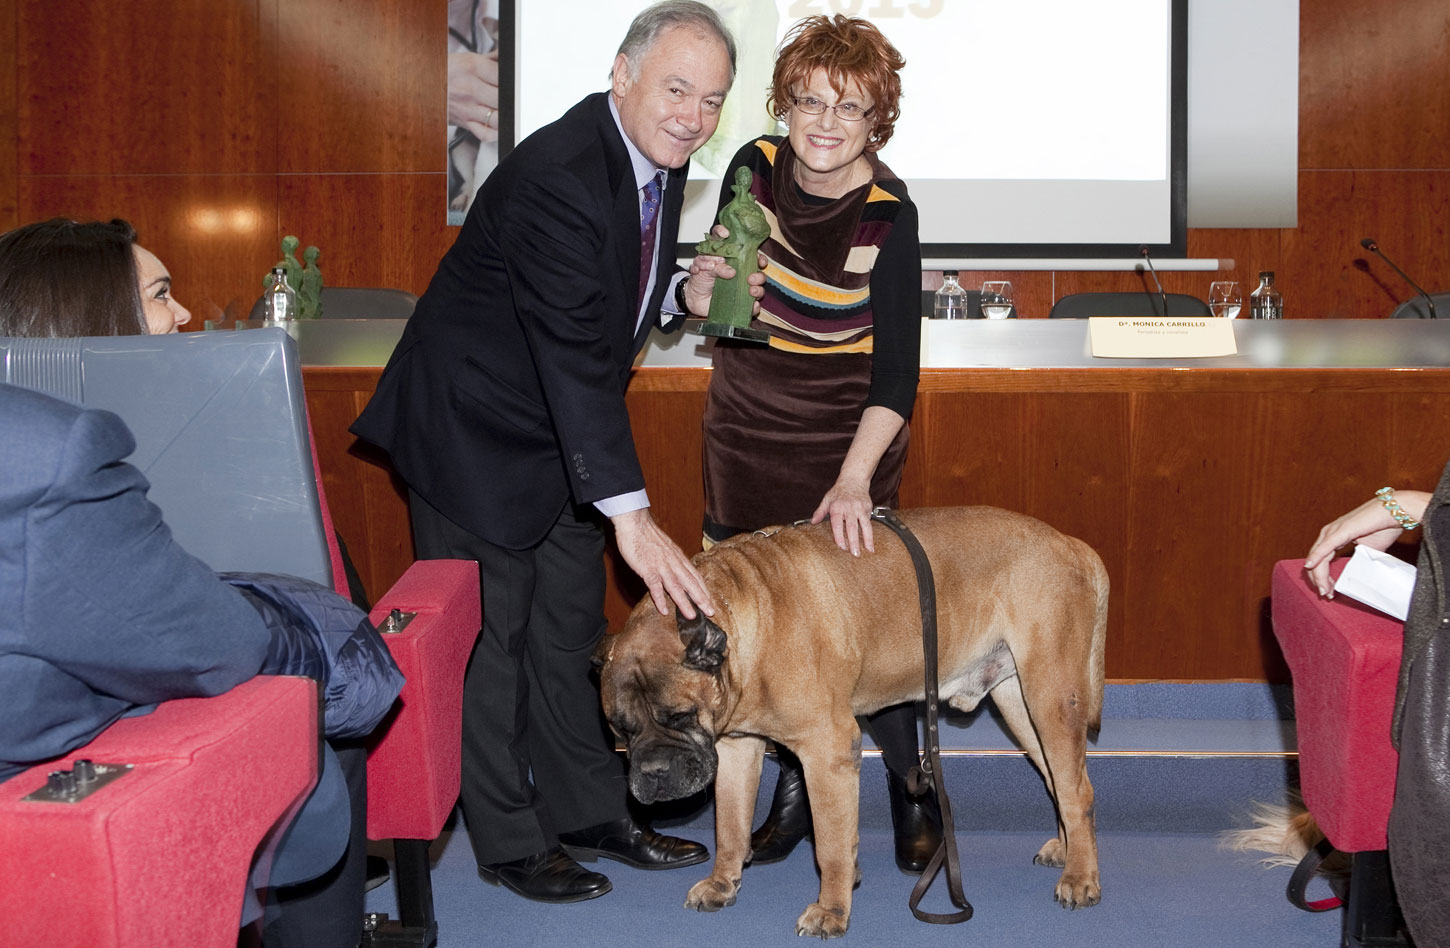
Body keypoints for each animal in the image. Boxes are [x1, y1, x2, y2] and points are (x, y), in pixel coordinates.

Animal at [594, 510, 1102, 939]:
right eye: (621, 729)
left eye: (679, 717)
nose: (653, 773)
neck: (745, 624)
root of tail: (1072, 544)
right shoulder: (737, 749)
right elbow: (731, 826)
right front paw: (723, 884)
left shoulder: (828, 750)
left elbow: (831, 843)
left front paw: (831, 910)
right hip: (1020, 704)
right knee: (1062, 781)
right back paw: (1066, 852)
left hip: (1050, 696)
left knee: (1077, 790)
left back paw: (1080, 878)